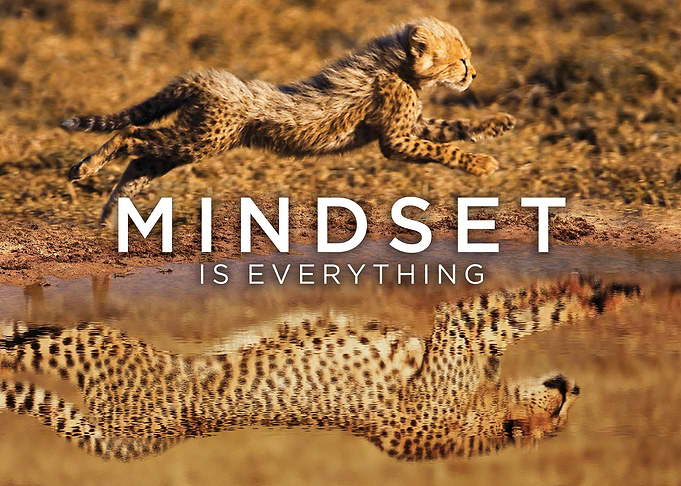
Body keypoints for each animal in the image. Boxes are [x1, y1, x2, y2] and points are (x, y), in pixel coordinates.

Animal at [0, 275, 639, 461]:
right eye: (561, 414)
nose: (574, 387)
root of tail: (154, 440)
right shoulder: (460, 325)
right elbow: (532, 311)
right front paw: (605, 295)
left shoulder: (461, 332)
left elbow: (526, 315)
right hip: (92, 343)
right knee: (18, 345)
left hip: (91, 356)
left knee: (17, 356)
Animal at [61, 17, 517, 223]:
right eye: (461, 61)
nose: (473, 75)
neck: (397, 66)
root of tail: (204, 77)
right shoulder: (395, 140)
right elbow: (441, 148)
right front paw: (482, 164)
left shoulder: (409, 126)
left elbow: (448, 129)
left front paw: (496, 125)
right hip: (202, 139)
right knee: (130, 132)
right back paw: (84, 169)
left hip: (188, 145)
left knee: (140, 159)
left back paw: (111, 216)